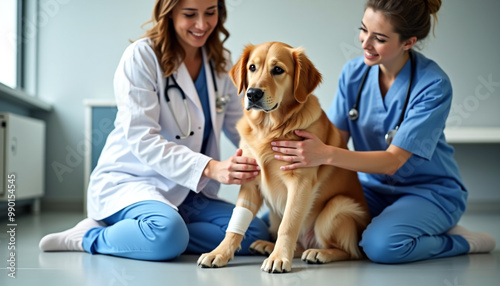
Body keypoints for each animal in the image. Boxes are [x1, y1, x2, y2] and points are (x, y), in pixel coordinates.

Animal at [197, 42, 370, 272]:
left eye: (278, 70)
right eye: (252, 67)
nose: (252, 94)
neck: (269, 129)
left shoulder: (300, 183)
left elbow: (288, 224)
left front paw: (279, 258)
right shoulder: (249, 179)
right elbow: (236, 224)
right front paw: (219, 253)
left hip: (337, 207)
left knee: (350, 252)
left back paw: (319, 253)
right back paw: (267, 246)